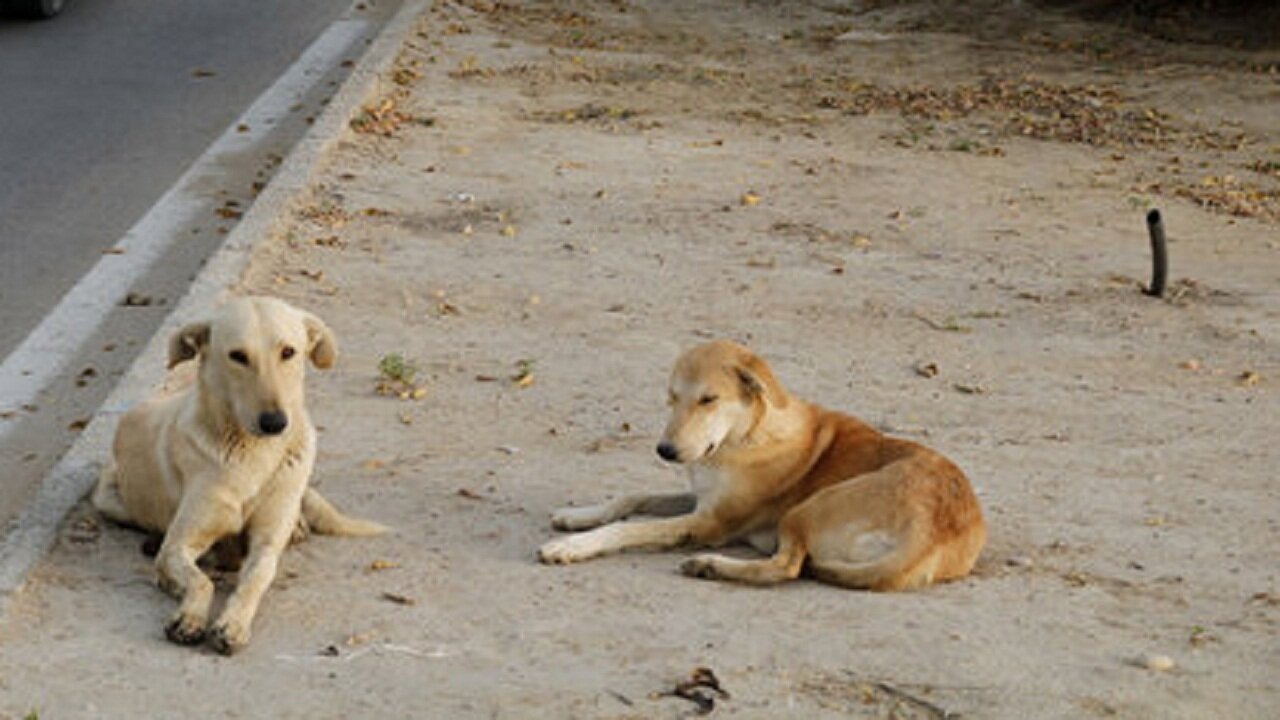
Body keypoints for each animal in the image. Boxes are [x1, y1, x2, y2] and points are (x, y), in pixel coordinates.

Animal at [91, 294, 384, 653]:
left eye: (288, 352)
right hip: (108, 498)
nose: (275, 423)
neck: (251, 453)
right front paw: (188, 618)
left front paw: (232, 623)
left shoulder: (266, 544)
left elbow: (255, 580)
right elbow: (202, 582)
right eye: (238, 356)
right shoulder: (177, 546)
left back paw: (298, 525)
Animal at [535, 338, 983, 589]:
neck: (743, 437)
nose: (665, 451)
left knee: (787, 568)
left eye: (709, 399)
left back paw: (709, 565)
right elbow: (632, 497)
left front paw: (571, 546)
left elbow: (629, 527)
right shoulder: (701, 497)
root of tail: (932, 531)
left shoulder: (709, 522)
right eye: (672, 396)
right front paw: (579, 515)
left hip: (807, 509)